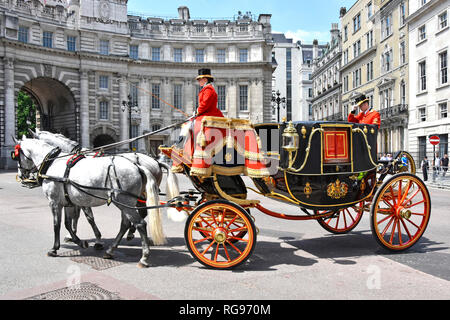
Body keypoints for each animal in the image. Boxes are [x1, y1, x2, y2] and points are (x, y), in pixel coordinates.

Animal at [14, 136, 169, 266]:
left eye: (16, 156)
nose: (21, 176)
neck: (54, 163)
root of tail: (138, 166)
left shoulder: (55, 202)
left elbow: (58, 224)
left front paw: (55, 248)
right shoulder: (69, 202)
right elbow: (68, 223)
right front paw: (79, 241)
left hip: (124, 201)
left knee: (140, 223)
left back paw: (144, 256)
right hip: (125, 202)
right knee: (126, 223)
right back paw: (111, 250)